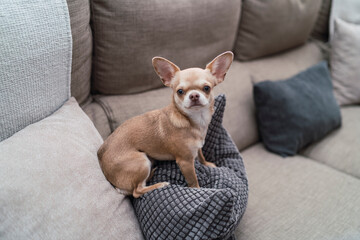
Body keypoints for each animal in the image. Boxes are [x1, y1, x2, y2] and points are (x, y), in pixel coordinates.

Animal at [97, 51, 233, 198]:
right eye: (180, 91)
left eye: (207, 88)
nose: (194, 95)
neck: (194, 121)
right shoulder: (185, 162)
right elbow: (193, 180)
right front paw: (198, 190)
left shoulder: (197, 147)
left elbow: (201, 156)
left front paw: (207, 164)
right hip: (141, 161)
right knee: (137, 191)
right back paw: (159, 184)